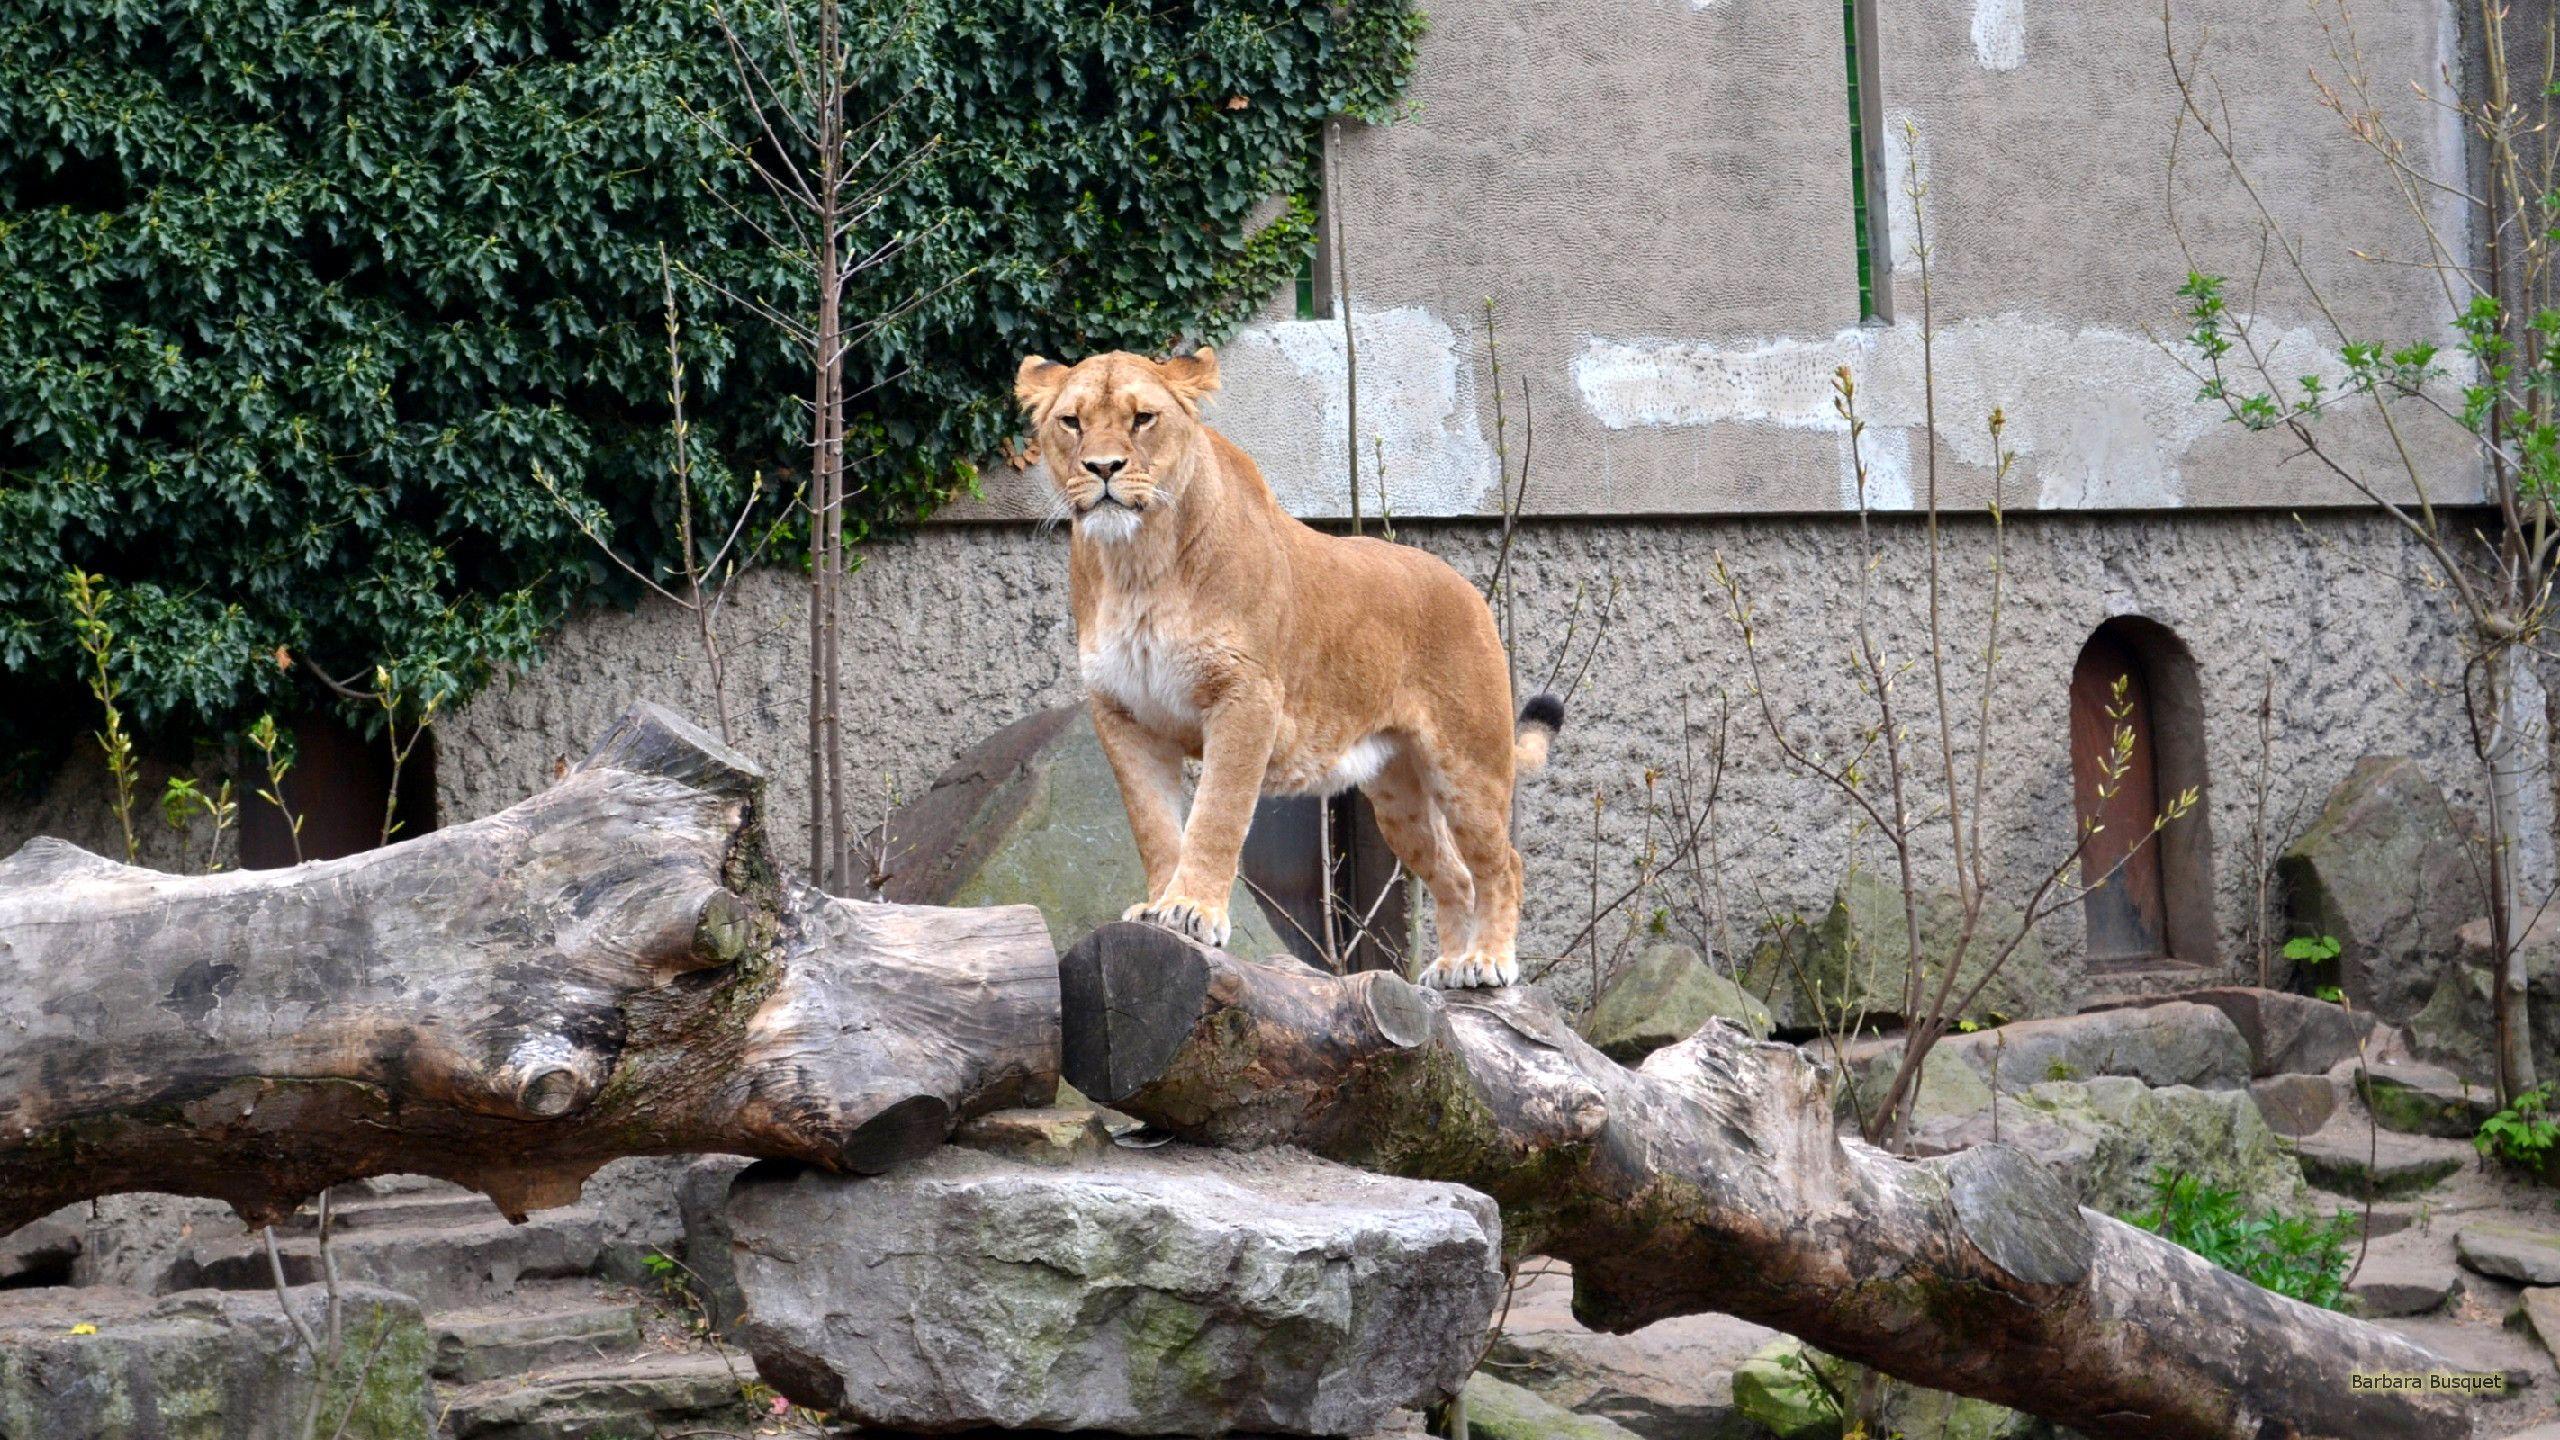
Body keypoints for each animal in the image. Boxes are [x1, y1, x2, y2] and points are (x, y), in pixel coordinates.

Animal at [1014, 346, 1564, 988]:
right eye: (1071, 422)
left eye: (1143, 418)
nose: (1102, 468)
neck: (1135, 563)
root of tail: (1470, 590)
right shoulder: (1122, 713)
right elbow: (1153, 824)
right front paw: (1157, 906)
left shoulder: (1245, 696)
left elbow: (1217, 812)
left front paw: (1192, 909)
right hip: (1397, 794)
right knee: (1454, 876)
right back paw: (1449, 966)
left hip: (1469, 763)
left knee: (1503, 865)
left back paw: (1487, 962)